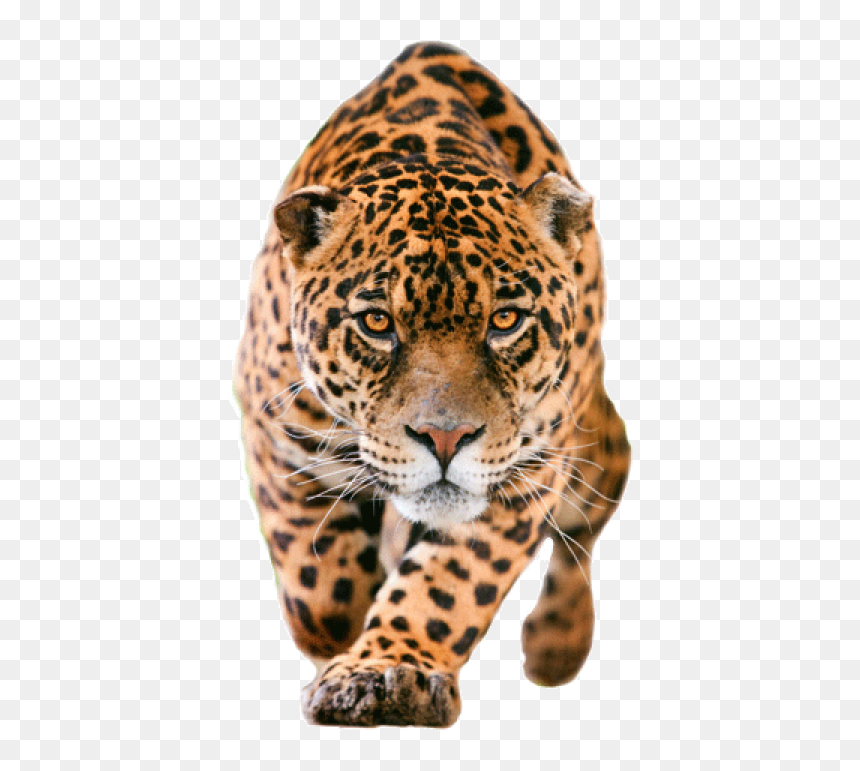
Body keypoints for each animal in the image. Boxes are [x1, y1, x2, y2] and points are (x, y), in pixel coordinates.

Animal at [234, 41, 630, 727]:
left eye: (505, 320)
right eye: (377, 323)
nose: (445, 439)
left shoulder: (527, 469)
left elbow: (450, 583)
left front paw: (389, 671)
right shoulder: (276, 433)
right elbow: (320, 585)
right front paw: (345, 642)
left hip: (595, 446)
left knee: (588, 522)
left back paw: (556, 645)